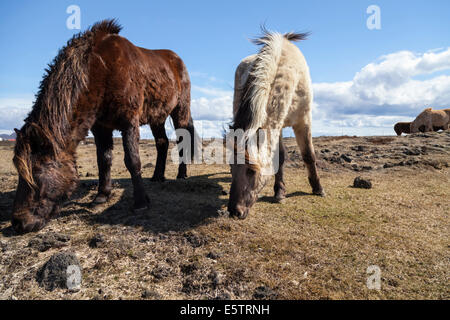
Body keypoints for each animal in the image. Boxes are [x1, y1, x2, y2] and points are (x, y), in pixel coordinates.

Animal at [12, 20, 194, 235]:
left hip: (180, 110)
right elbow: (104, 160)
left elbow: (132, 161)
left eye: (37, 173)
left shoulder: (129, 123)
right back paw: (158, 177)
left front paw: (141, 202)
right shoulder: (100, 128)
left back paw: (181, 174)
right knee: (162, 143)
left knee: (181, 140)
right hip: (157, 117)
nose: (18, 222)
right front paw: (101, 196)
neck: (102, 70)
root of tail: (177, 60)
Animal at [227, 29, 326, 220]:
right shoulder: (275, 125)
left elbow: (309, 155)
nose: (234, 211)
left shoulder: (304, 121)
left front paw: (318, 189)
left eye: (251, 170)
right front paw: (280, 192)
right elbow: (279, 156)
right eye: (231, 166)